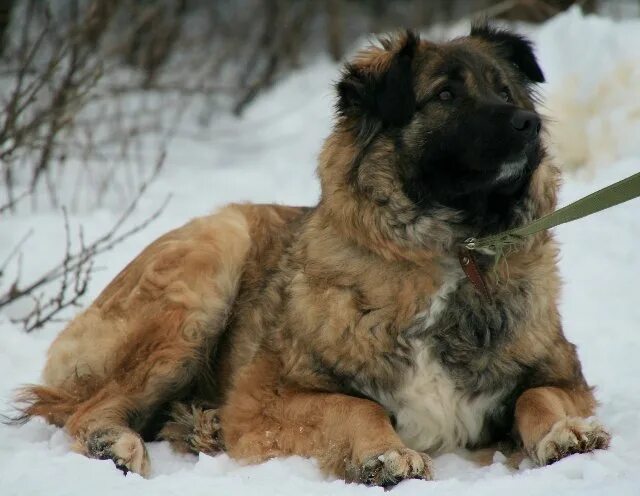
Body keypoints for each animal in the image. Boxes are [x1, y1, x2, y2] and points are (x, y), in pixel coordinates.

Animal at [12, 25, 608, 486]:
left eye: (506, 92)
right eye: (444, 96)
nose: (528, 125)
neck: (453, 249)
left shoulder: (565, 375)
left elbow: (538, 396)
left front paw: (565, 432)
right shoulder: (269, 395)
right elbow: (358, 405)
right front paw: (386, 453)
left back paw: (197, 424)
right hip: (205, 273)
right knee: (88, 408)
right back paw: (119, 443)